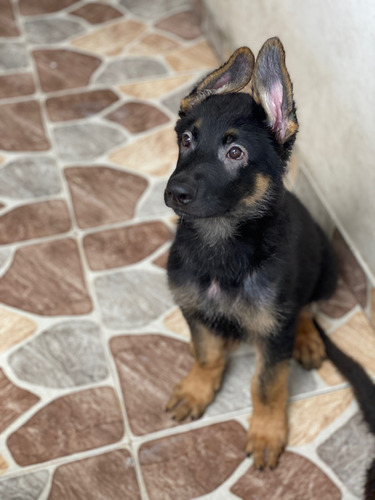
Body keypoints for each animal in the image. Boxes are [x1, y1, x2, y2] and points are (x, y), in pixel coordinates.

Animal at [164, 38, 338, 468]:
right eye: (186, 140)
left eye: (236, 153)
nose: (175, 192)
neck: (221, 244)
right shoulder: (192, 306)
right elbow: (206, 353)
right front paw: (198, 388)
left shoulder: (273, 333)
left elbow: (267, 384)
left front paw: (266, 431)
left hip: (326, 270)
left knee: (306, 307)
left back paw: (307, 339)